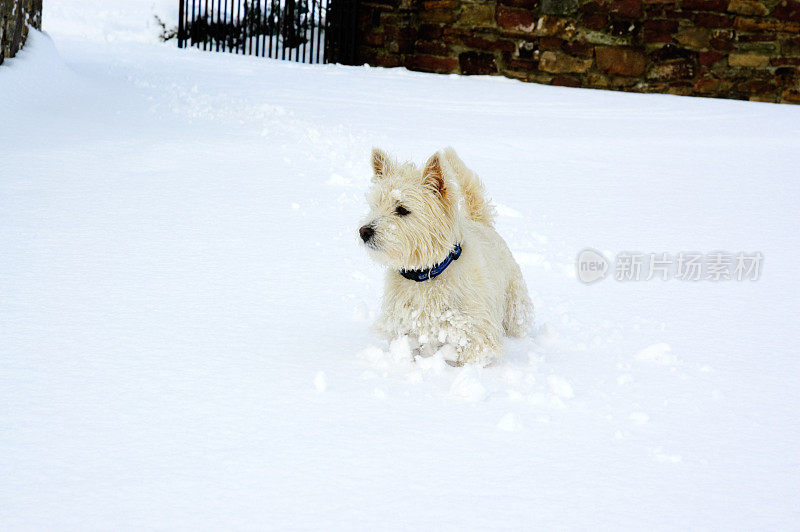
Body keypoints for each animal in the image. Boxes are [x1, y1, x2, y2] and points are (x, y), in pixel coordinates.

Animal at [360, 149, 536, 366]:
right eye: (375, 205)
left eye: (402, 209)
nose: (364, 231)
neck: (426, 274)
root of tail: (483, 223)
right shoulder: (404, 325)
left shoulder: (474, 330)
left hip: (514, 301)